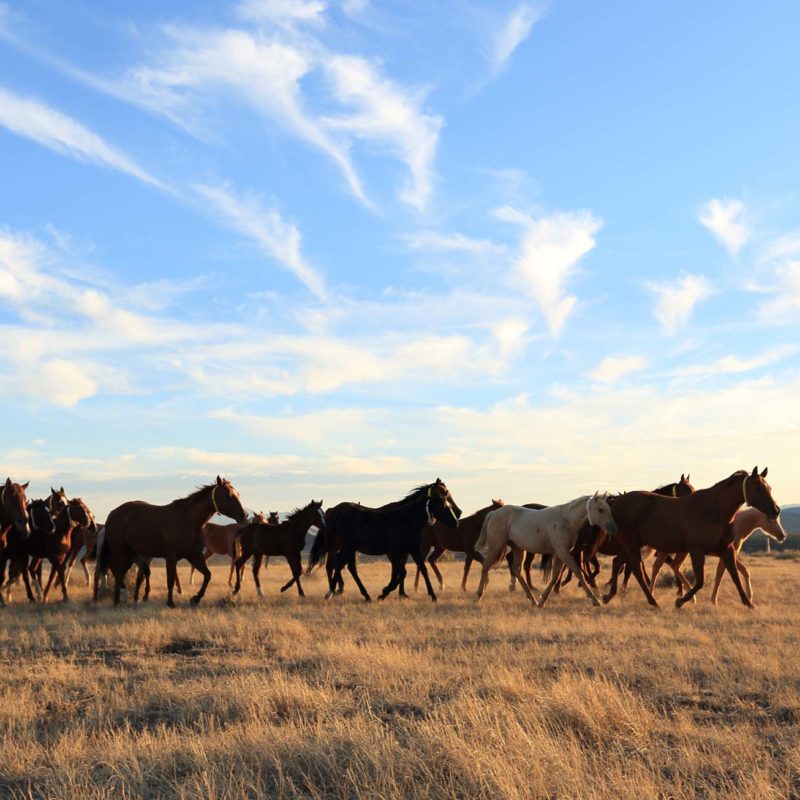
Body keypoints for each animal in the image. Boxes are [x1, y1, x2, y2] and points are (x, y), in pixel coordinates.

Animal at [94, 476, 245, 608]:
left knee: (119, 571)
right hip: (120, 551)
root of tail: (112, 514)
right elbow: (170, 580)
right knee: (116, 570)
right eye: (227, 496)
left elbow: (208, 575)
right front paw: (171, 602)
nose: (244, 515)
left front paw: (196, 599)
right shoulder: (171, 558)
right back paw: (118, 600)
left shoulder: (194, 556)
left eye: (238, 494)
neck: (188, 520)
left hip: (130, 554)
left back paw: (122, 598)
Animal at [310, 478, 462, 604]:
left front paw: (433, 595)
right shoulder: (394, 552)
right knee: (337, 565)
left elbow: (420, 569)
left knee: (345, 566)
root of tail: (334, 511)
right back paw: (332, 592)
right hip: (345, 546)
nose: (456, 520)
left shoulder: (412, 549)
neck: (405, 520)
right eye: (445, 502)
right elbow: (397, 574)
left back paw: (361, 595)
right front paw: (383, 593)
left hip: (349, 547)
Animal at [476, 494, 620, 608]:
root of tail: (494, 514)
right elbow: (578, 572)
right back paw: (478, 596)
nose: (614, 529)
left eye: (608, 509)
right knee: (486, 566)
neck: (566, 521)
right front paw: (595, 600)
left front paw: (542, 601)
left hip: (518, 548)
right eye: (600, 509)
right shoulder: (563, 552)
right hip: (496, 546)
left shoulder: (560, 554)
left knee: (517, 570)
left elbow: (555, 576)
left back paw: (532, 600)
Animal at [604, 468, 780, 608]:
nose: (776, 510)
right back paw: (652, 602)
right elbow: (700, 581)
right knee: (637, 570)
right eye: (758, 488)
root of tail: (617, 502)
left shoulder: (727, 549)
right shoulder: (697, 551)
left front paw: (748, 603)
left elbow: (735, 576)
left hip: (630, 546)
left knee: (618, 562)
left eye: (769, 487)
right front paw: (681, 601)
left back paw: (608, 595)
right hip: (632, 545)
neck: (713, 511)